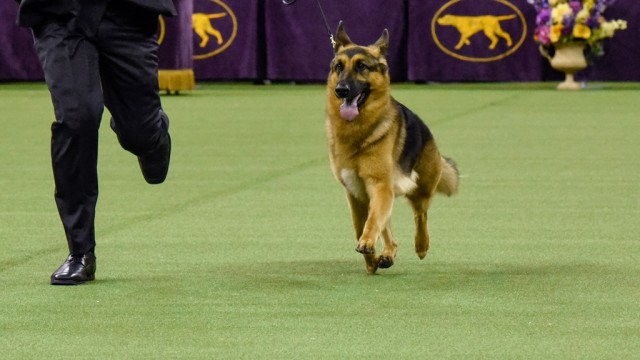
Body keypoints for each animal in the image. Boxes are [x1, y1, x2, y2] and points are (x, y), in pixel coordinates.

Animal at [324, 22, 460, 274]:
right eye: (339, 67)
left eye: (361, 66)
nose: (341, 90)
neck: (360, 132)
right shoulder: (356, 193)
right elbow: (363, 225)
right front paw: (370, 259)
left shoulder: (379, 185)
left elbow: (372, 221)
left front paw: (368, 243)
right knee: (388, 228)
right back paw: (387, 254)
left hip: (420, 190)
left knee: (420, 215)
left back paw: (421, 245)